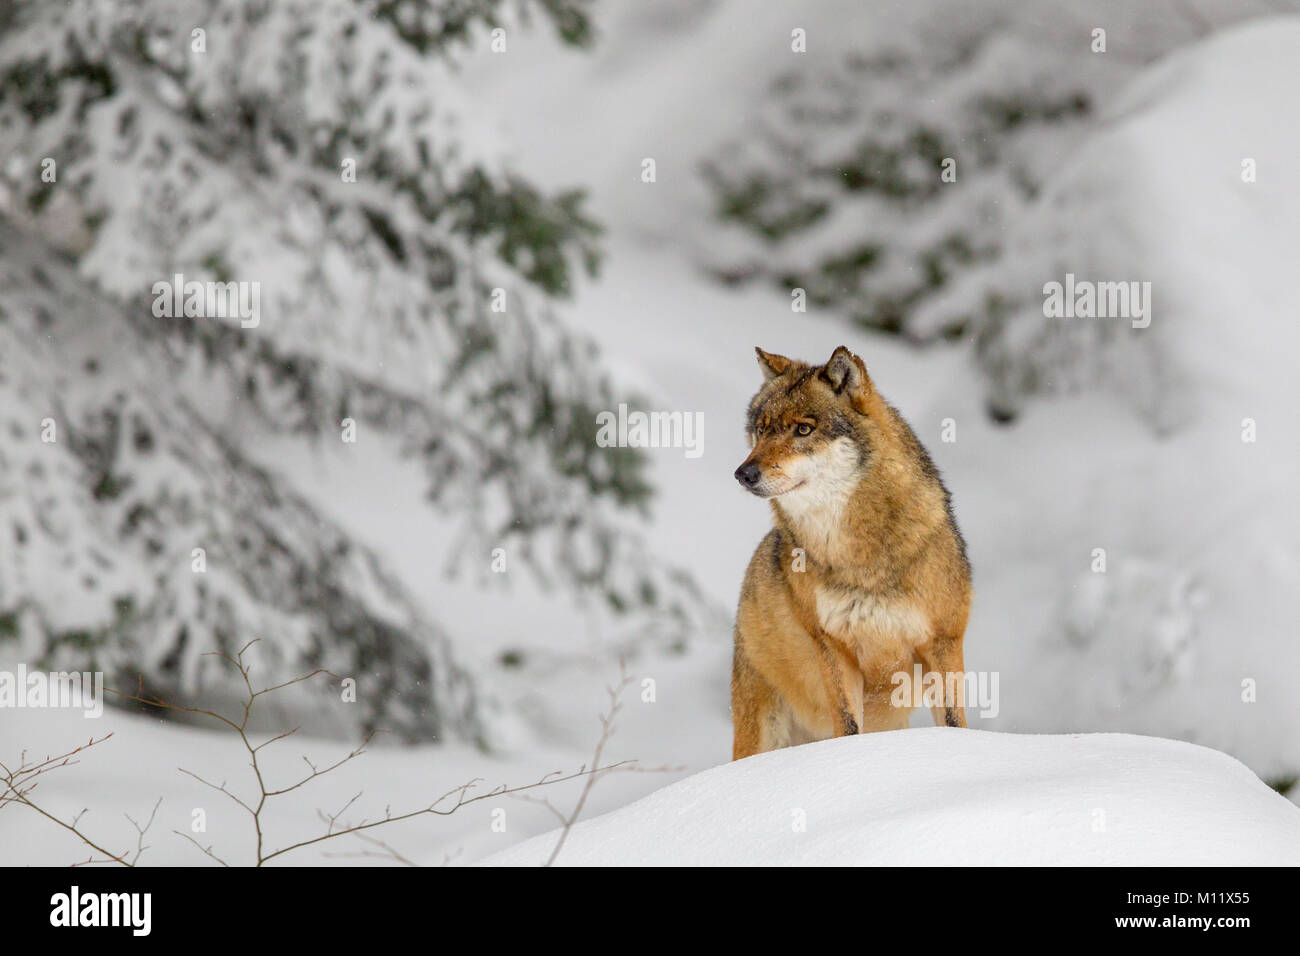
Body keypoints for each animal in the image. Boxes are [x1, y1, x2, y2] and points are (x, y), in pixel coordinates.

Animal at [731, 345, 972, 759]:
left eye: (803, 429)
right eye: (761, 430)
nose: (744, 474)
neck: (858, 556)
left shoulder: (943, 643)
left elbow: (955, 723)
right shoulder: (834, 648)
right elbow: (847, 725)